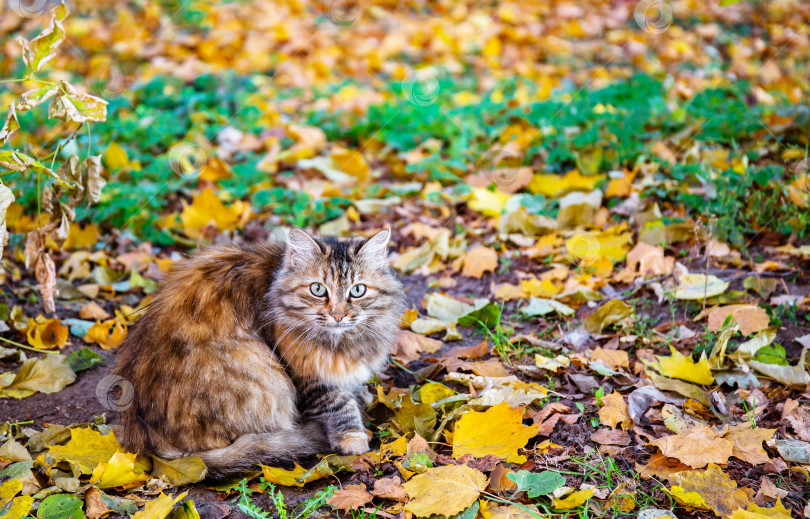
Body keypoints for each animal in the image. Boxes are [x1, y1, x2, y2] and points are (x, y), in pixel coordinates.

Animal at [112, 230, 402, 482]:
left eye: (357, 290)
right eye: (318, 289)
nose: (339, 315)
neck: (344, 341)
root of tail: (148, 443)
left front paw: (360, 394)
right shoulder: (305, 375)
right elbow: (339, 401)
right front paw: (352, 437)